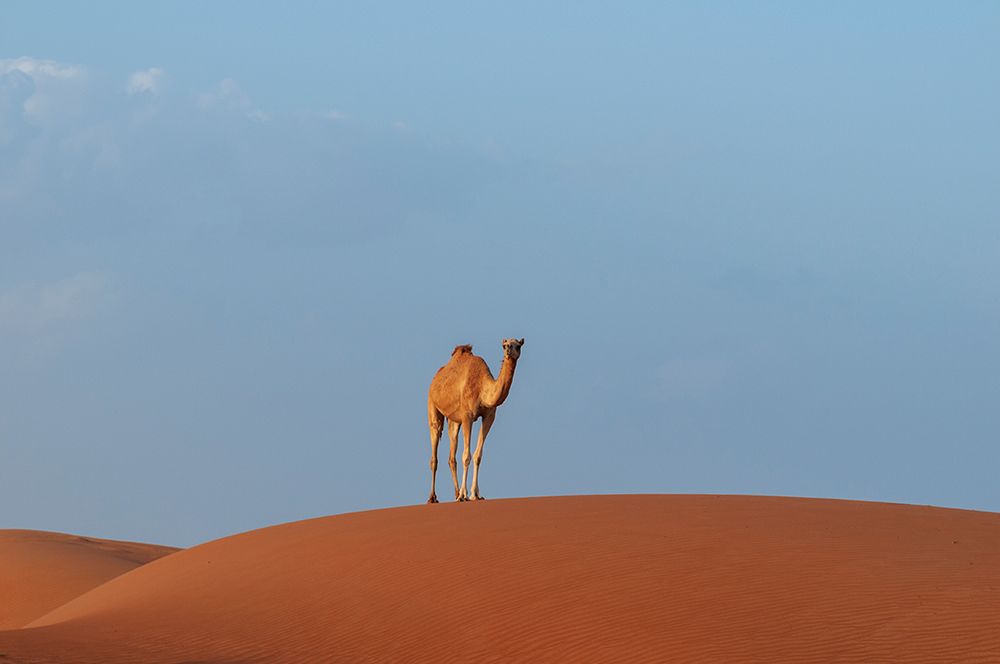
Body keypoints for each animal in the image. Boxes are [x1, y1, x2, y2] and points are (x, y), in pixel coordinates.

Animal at [426, 338, 524, 503]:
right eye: (504, 345)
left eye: (518, 345)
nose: (508, 351)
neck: (482, 388)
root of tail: (435, 378)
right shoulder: (468, 416)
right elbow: (467, 455)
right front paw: (465, 495)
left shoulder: (489, 417)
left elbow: (478, 455)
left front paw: (475, 495)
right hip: (433, 407)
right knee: (435, 450)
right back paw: (433, 497)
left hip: (454, 420)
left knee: (452, 456)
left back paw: (456, 493)